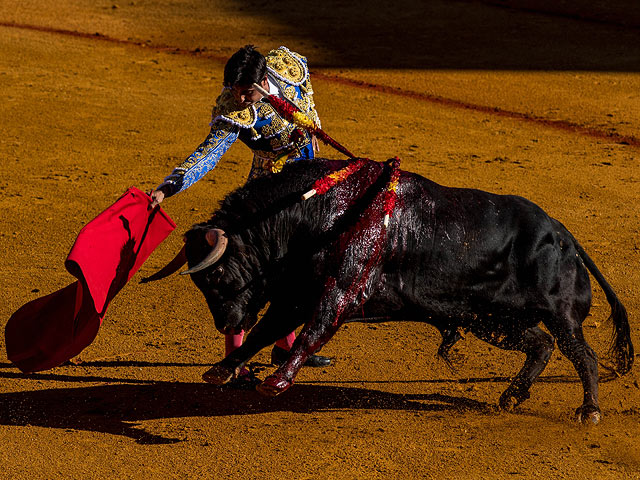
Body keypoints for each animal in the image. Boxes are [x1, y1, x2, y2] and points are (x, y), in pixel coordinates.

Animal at [148, 158, 632, 424]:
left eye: (215, 276)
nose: (227, 323)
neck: (319, 212)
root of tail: (564, 236)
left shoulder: (339, 290)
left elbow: (309, 333)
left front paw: (277, 382)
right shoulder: (296, 294)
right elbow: (268, 332)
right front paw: (222, 369)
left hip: (558, 313)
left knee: (582, 354)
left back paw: (589, 411)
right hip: (491, 321)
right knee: (540, 345)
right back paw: (511, 397)